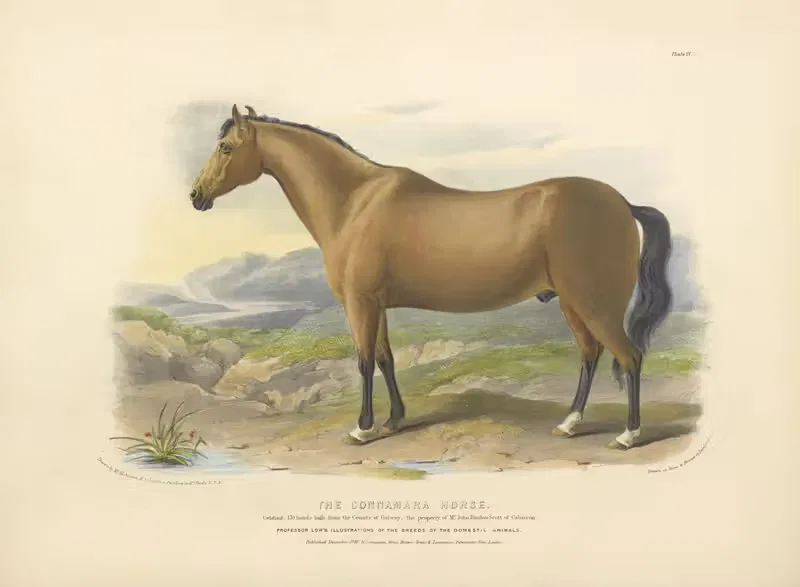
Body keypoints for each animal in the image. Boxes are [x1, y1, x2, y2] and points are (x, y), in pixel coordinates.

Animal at [189, 104, 673, 450]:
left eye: (226, 147)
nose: (196, 196)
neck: (356, 203)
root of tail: (622, 203)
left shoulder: (359, 303)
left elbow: (363, 361)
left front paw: (363, 429)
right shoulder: (377, 305)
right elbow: (384, 358)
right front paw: (394, 419)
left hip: (595, 303)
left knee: (630, 357)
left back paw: (628, 435)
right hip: (574, 303)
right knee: (591, 354)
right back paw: (570, 423)